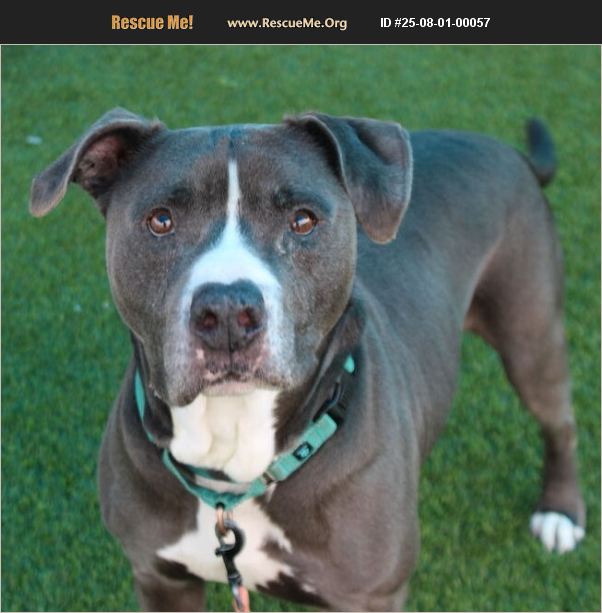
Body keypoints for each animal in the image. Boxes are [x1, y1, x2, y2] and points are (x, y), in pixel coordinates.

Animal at [30, 108, 585, 611]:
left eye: (303, 220)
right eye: (160, 220)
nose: (227, 312)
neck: (234, 466)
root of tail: (506, 150)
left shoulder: (370, 596)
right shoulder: (160, 578)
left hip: (531, 335)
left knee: (560, 422)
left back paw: (560, 513)